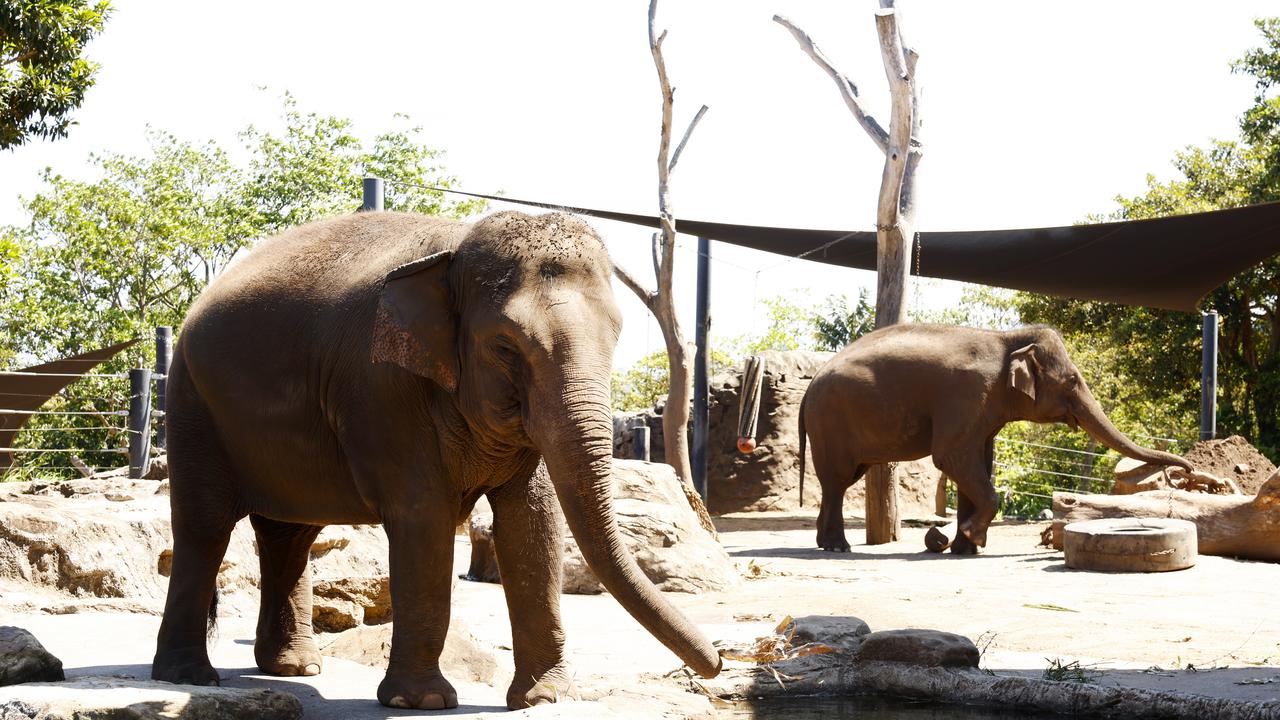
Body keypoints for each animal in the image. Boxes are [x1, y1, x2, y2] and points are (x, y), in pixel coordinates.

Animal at [152, 208, 721, 707]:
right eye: (505, 347)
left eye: (616, 336)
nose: (715, 663)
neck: (455, 248)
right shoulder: (381, 389)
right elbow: (423, 516)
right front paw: (421, 701)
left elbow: (533, 520)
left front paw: (546, 698)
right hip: (191, 405)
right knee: (205, 527)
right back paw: (189, 676)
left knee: (289, 534)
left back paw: (297, 668)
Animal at [798, 322, 1187, 550]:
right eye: (1072, 381)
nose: (1182, 471)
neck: (1007, 339)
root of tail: (810, 383)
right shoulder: (968, 395)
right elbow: (952, 457)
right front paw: (974, 538)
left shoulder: (983, 408)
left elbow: (977, 461)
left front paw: (964, 548)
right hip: (830, 422)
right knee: (837, 481)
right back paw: (838, 547)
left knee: (841, 481)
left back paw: (824, 542)